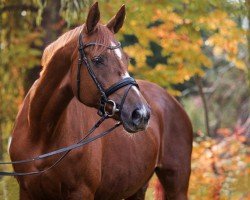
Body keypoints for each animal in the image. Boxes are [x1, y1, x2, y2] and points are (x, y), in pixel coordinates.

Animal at [7, 1, 191, 200]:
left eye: (126, 59)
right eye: (97, 59)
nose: (141, 114)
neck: (41, 133)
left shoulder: (81, 192)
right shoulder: (27, 192)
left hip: (177, 185)